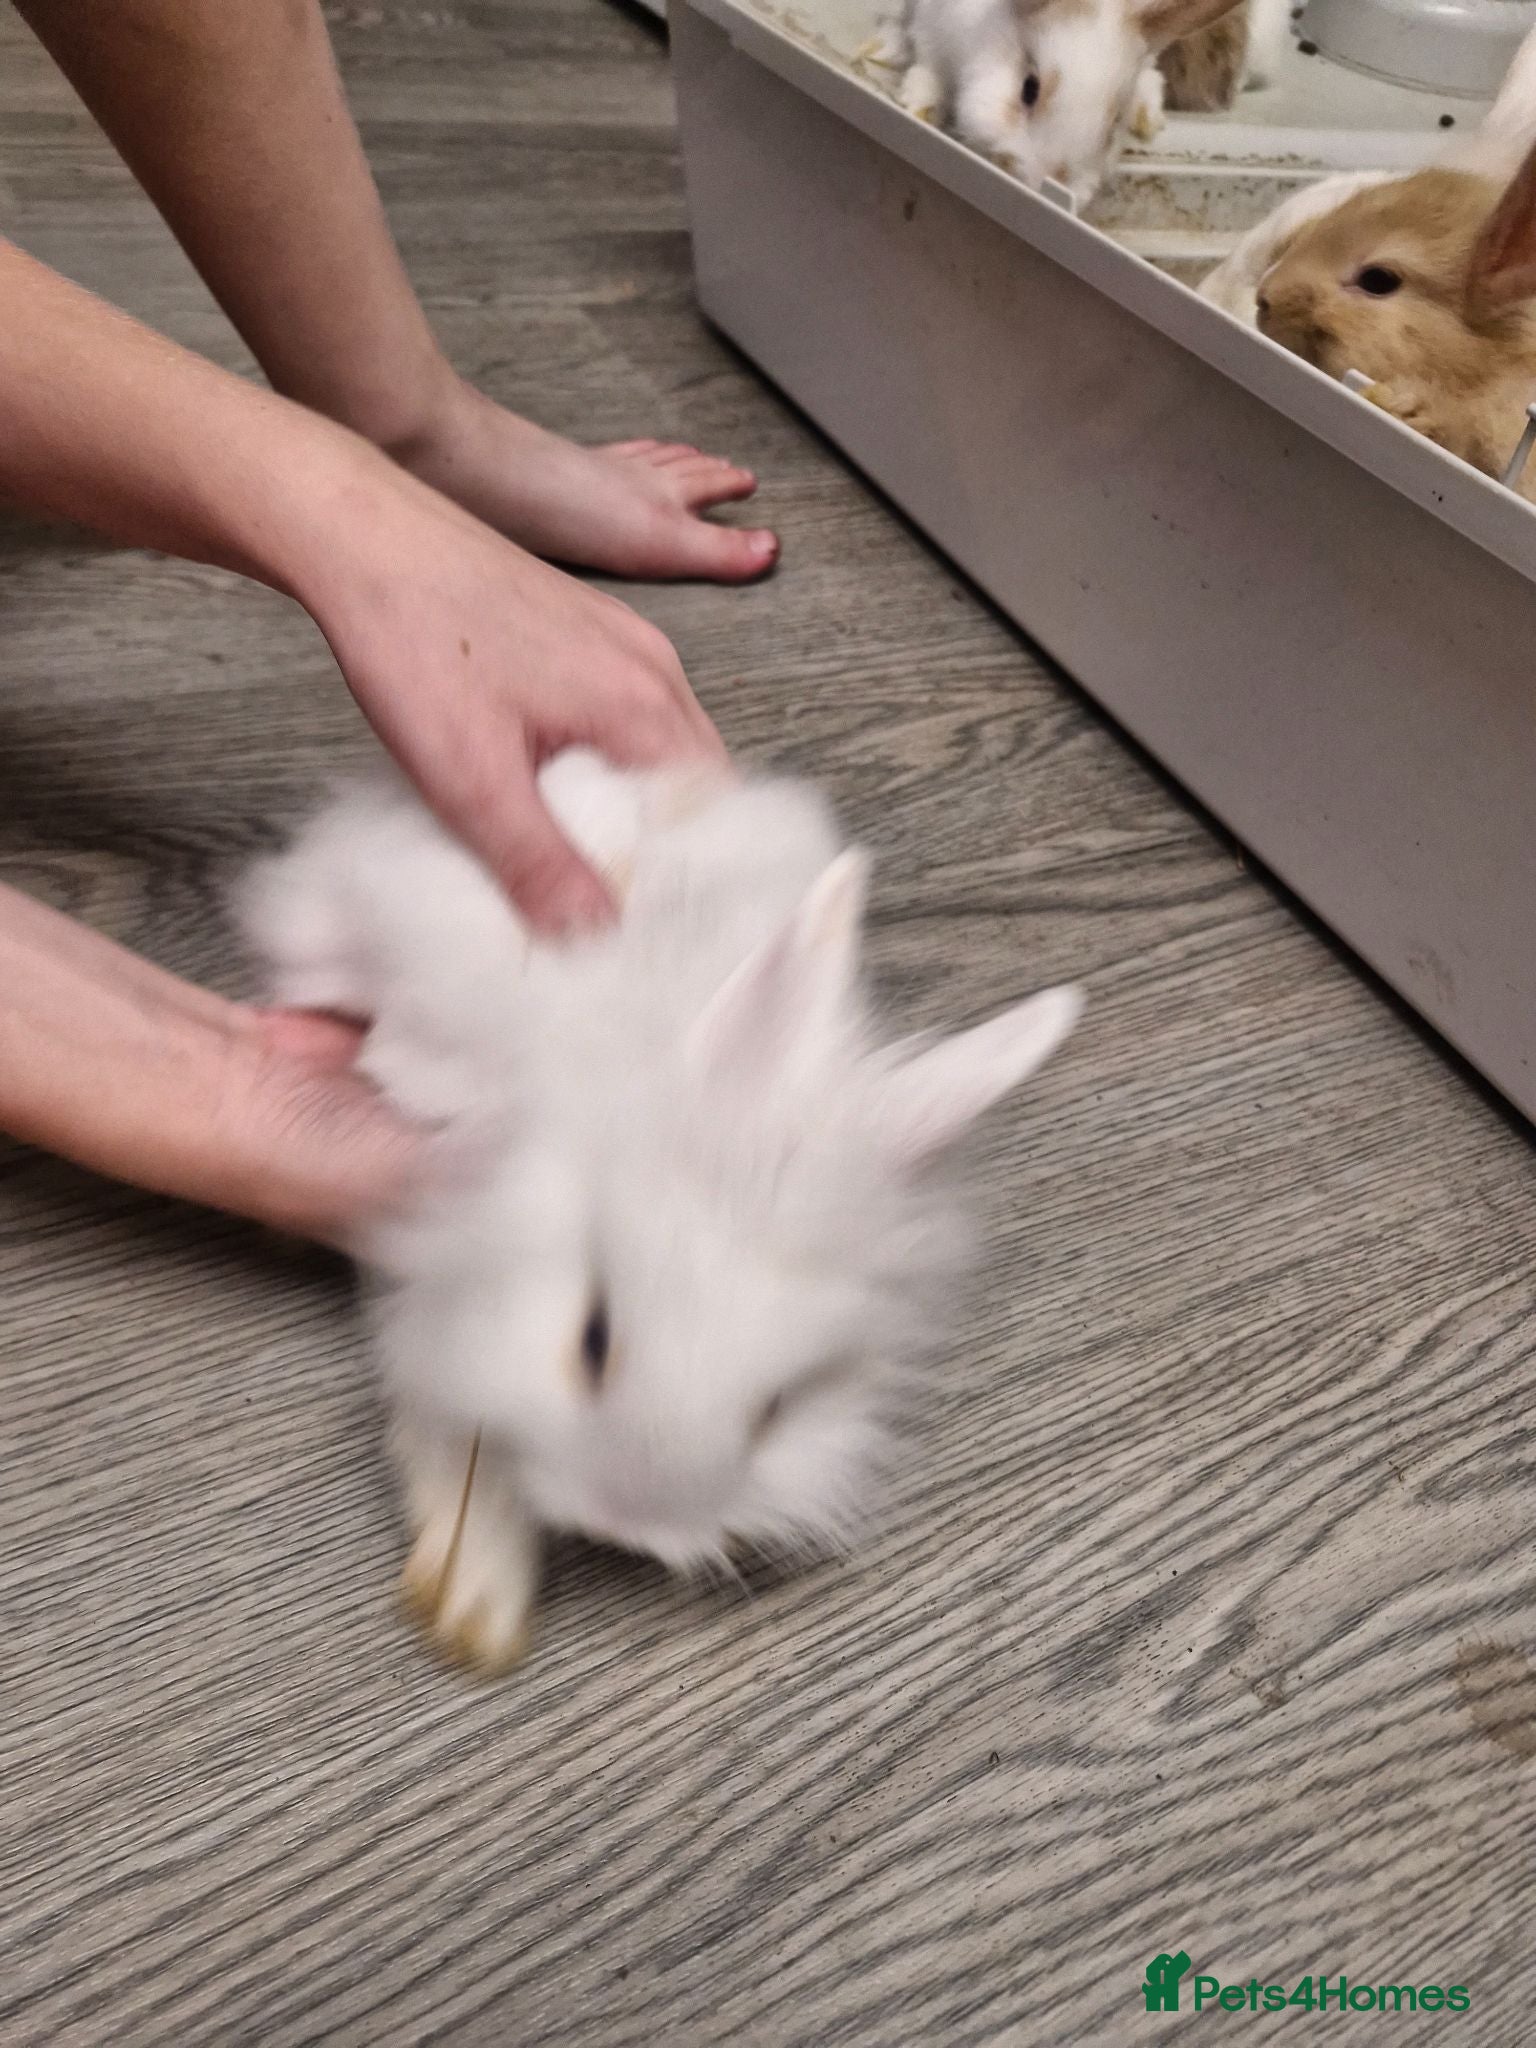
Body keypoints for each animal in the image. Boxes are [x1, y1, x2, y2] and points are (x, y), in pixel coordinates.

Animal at [895, 0, 1252, 210]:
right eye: (1029, 89)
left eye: (1113, 123)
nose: (1054, 183)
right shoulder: (932, 27)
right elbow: (929, 68)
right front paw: (919, 106)